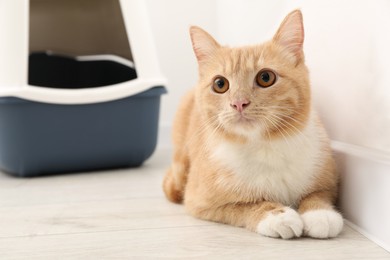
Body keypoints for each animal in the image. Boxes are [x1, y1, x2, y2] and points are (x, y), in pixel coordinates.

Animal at [163, 10, 342, 239]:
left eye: (266, 77)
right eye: (220, 84)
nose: (239, 103)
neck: (265, 146)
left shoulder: (328, 178)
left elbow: (318, 193)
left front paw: (320, 213)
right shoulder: (199, 202)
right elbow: (244, 206)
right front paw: (276, 215)